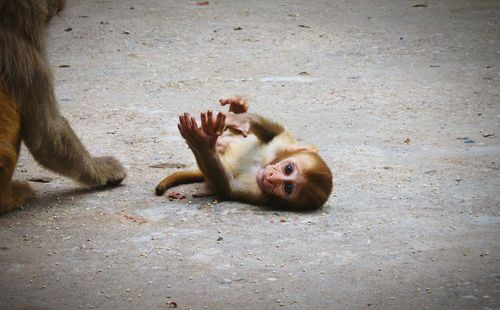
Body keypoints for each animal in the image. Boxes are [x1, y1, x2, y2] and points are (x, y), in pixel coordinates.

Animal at [156, 97, 332, 211]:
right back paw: (237, 108)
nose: (271, 177)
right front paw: (241, 119)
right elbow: (275, 133)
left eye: (288, 187)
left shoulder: (256, 194)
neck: (260, 167)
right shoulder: (284, 145)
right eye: (288, 168)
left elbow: (227, 187)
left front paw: (201, 143)